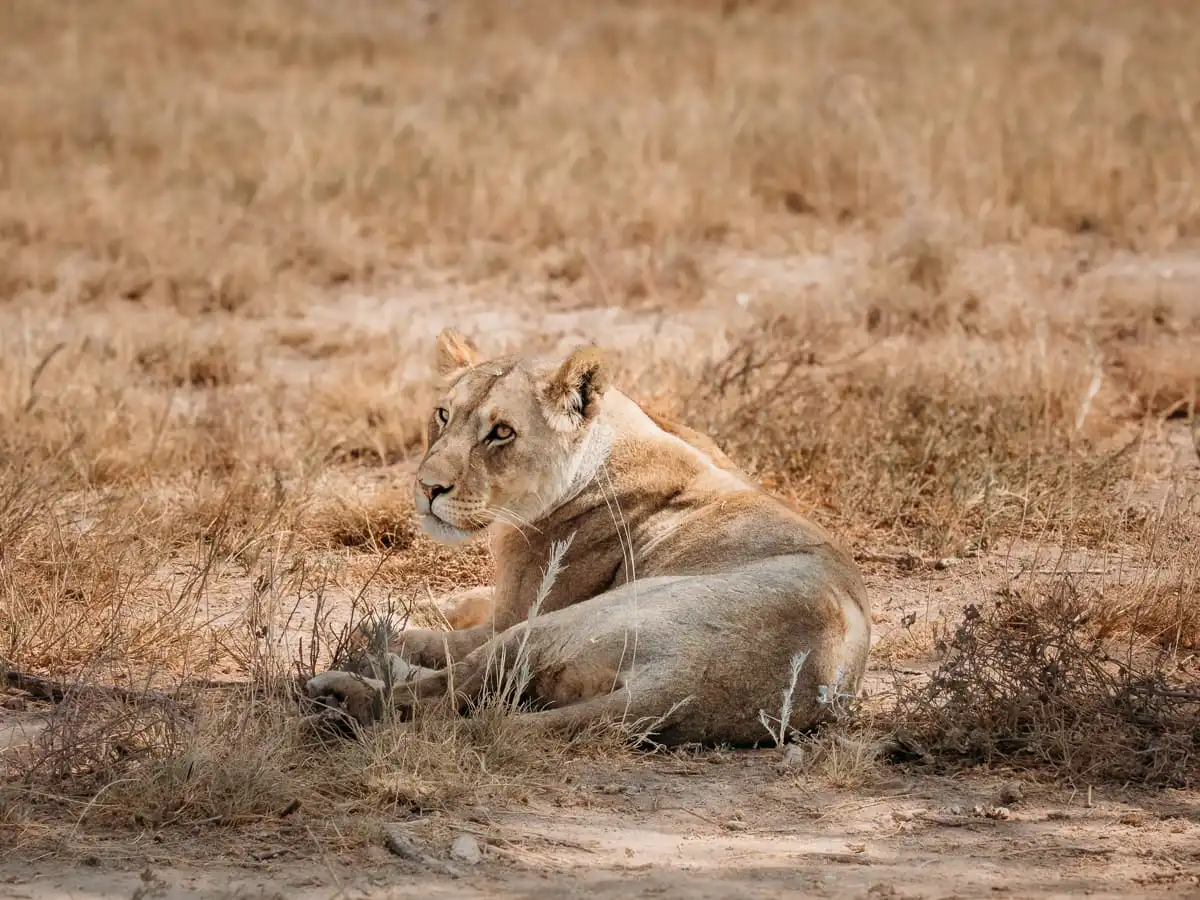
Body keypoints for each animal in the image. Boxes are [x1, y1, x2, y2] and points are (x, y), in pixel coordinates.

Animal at [305, 329, 871, 746]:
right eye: (443, 415)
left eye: (501, 433)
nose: (427, 488)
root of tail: (690, 689)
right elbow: (465, 601)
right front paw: (434, 602)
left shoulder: (517, 612)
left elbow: (433, 640)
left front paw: (387, 626)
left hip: (563, 623)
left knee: (446, 690)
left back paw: (345, 686)